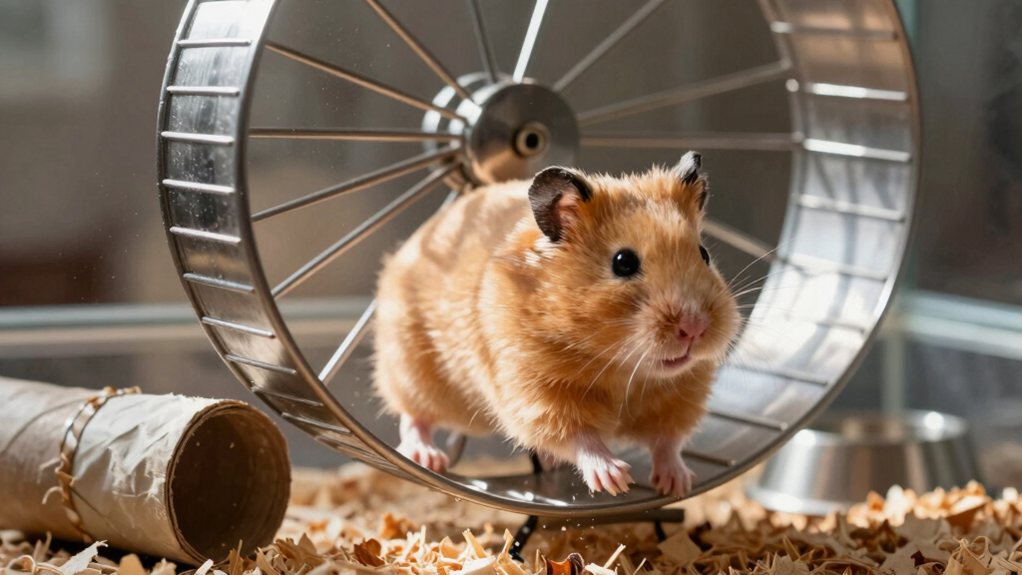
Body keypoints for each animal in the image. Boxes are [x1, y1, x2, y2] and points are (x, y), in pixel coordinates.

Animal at [373, 152, 739, 497]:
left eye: (704, 254)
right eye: (623, 262)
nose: (694, 328)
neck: (622, 368)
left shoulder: (681, 394)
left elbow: (668, 442)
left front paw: (678, 484)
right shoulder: (537, 394)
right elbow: (579, 436)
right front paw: (615, 479)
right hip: (412, 367)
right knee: (412, 417)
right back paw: (428, 457)